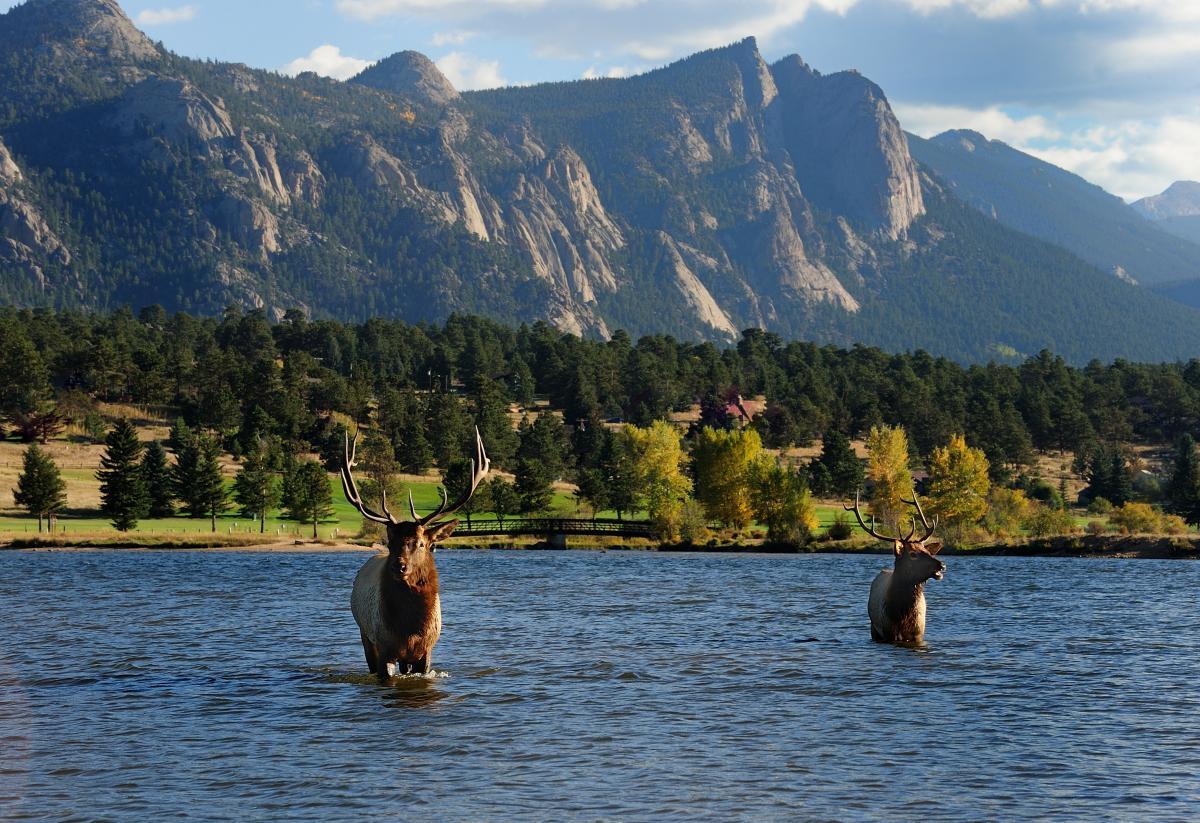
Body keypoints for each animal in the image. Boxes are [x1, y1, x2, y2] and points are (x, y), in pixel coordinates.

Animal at [341, 426, 489, 679]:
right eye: (390, 543)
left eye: (421, 543)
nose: (398, 565)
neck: (411, 628)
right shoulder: (384, 647)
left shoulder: (426, 651)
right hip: (364, 635)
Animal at [844, 492, 945, 644]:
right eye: (913, 554)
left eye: (927, 551)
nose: (941, 565)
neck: (902, 614)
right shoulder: (889, 632)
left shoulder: (918, 633)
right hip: (874, 628)